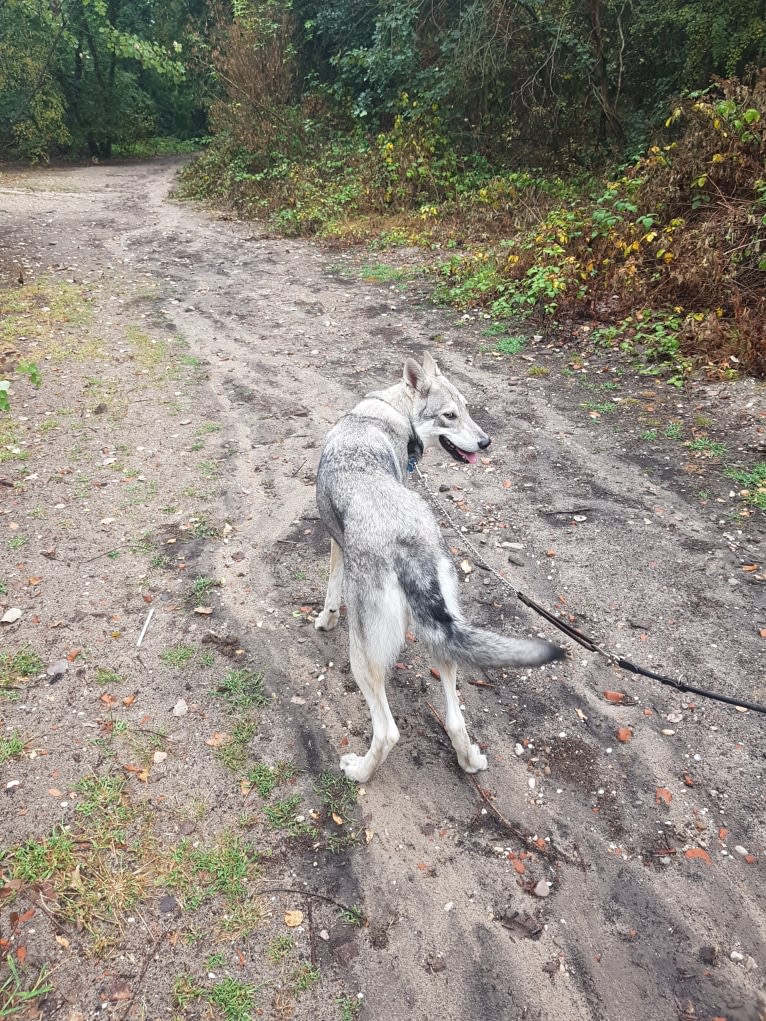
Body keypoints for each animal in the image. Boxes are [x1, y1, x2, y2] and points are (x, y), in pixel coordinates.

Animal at [312, 353, 563, 780]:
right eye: (451, 414)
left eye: (467, 410)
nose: (485, 442)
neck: (388, 413)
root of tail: (409, 545)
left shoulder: (335, 544)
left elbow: (330, 590)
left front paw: (325, 619)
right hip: (442, 638)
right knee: (455, 719)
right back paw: (470, 760)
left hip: (363, 656)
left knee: (387, 732)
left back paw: (358, 770)